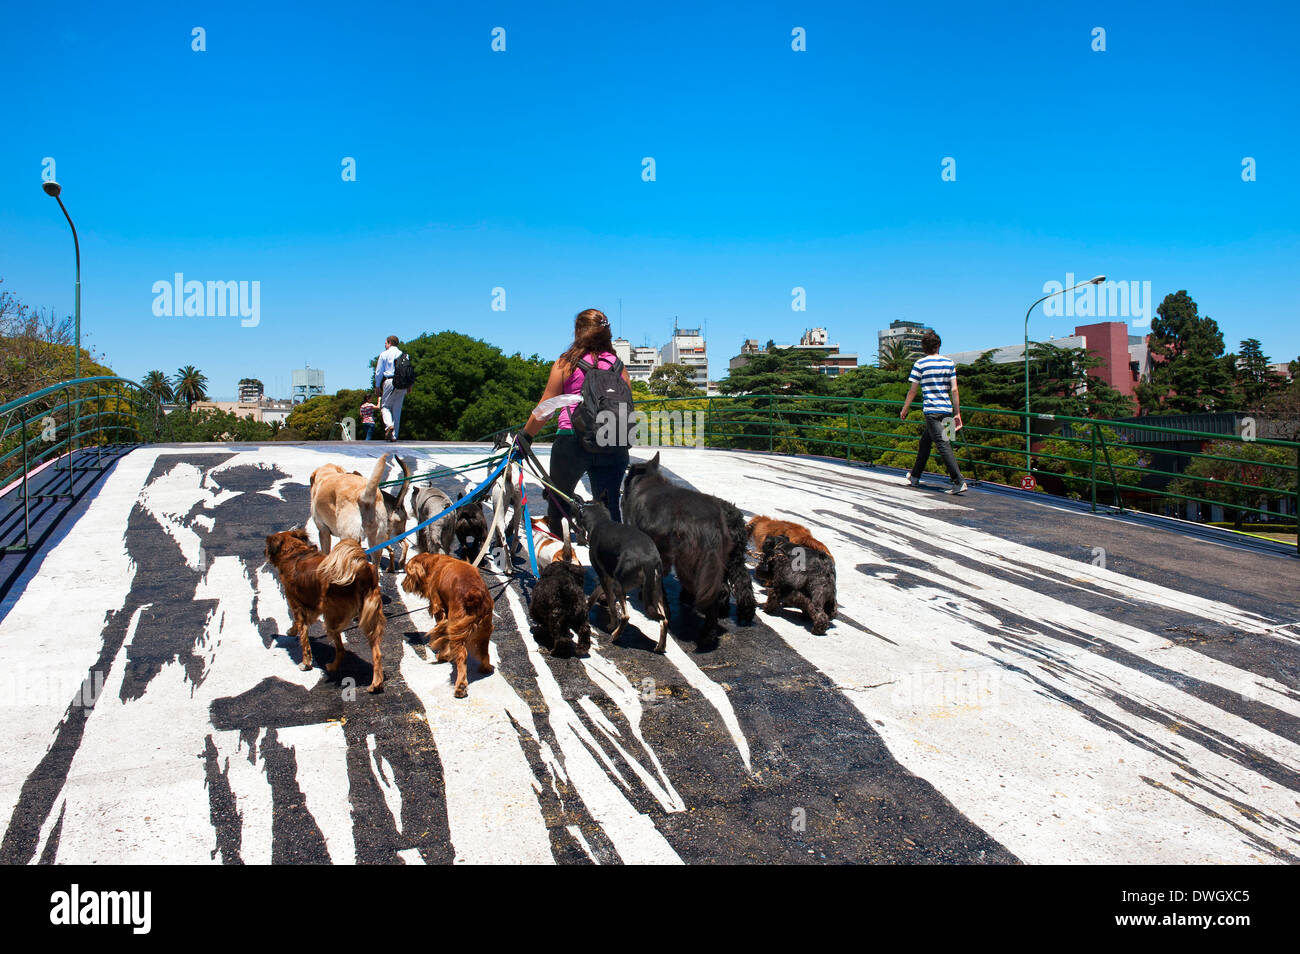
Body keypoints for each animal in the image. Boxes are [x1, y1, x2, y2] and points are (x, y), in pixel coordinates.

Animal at [400, 553, 496, 701]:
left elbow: (442, 637)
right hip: (485, 628)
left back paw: (460, 686)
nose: (402, 585)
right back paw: (485, 668)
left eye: (407, 573)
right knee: (484, 650)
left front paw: (442, 655)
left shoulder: (440, 609)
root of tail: (475, 594)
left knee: (462, 656)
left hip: (456, 627)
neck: (434, 563)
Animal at [525, 522, 592, 657]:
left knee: (562, 639)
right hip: (580, 615)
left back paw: (556, 651)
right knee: (585, 630)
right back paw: (582, 649)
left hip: (556, 619)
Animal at [579, 496, 670, 655]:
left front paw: (611, 625)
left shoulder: (605, 577)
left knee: (626, 616)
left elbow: (611, 605)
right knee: (664, 620)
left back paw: (615, 635)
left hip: (621, 587)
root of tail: (650, 560)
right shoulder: (607, 577)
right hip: (655, 590)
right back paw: (660, 646)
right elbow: (594, 594)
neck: (600, 520)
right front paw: (587, 607)